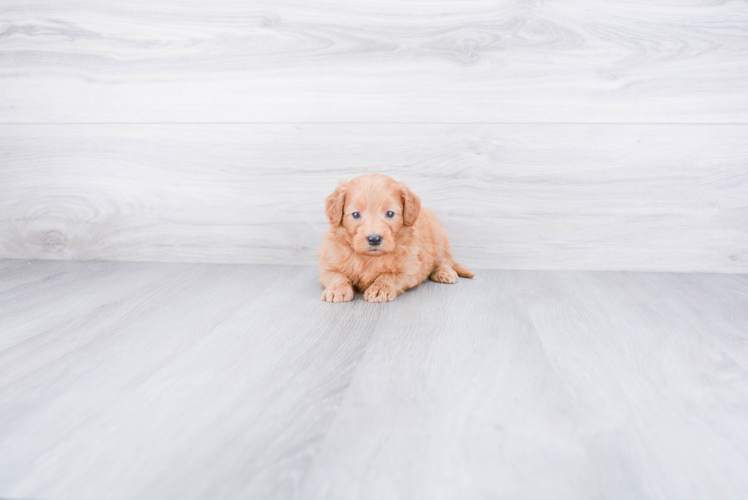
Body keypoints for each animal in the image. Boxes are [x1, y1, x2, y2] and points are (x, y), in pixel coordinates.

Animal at [318, 174, 474, 302]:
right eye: (356, 214)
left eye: (390, 213)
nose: (374, 239)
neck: (369, 258)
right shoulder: (328, 266)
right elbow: (338, 276)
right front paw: (337, 289)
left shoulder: (409, 270)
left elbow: (388, 276)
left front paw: (379, 289)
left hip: (440, 240)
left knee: (445, 261)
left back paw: (445, 273)